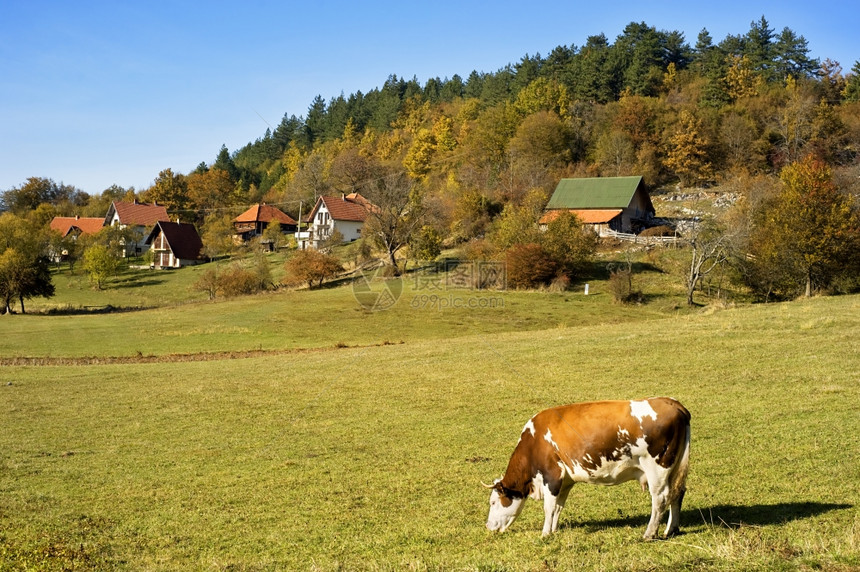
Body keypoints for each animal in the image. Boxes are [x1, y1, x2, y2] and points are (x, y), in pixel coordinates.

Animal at [488, 396, 688, 540]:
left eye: (493, 502)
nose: (488, 526)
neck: (534, 441)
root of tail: (673, 403)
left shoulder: (552, 475)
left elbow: (549, 507)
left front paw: (545, 533)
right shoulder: (565, 481)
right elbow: (558, 506)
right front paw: (554, 530)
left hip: (657, 468)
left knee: (660, 498)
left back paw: (649, 533)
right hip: (674, 467)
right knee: (677, 493)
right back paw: (671, 529)